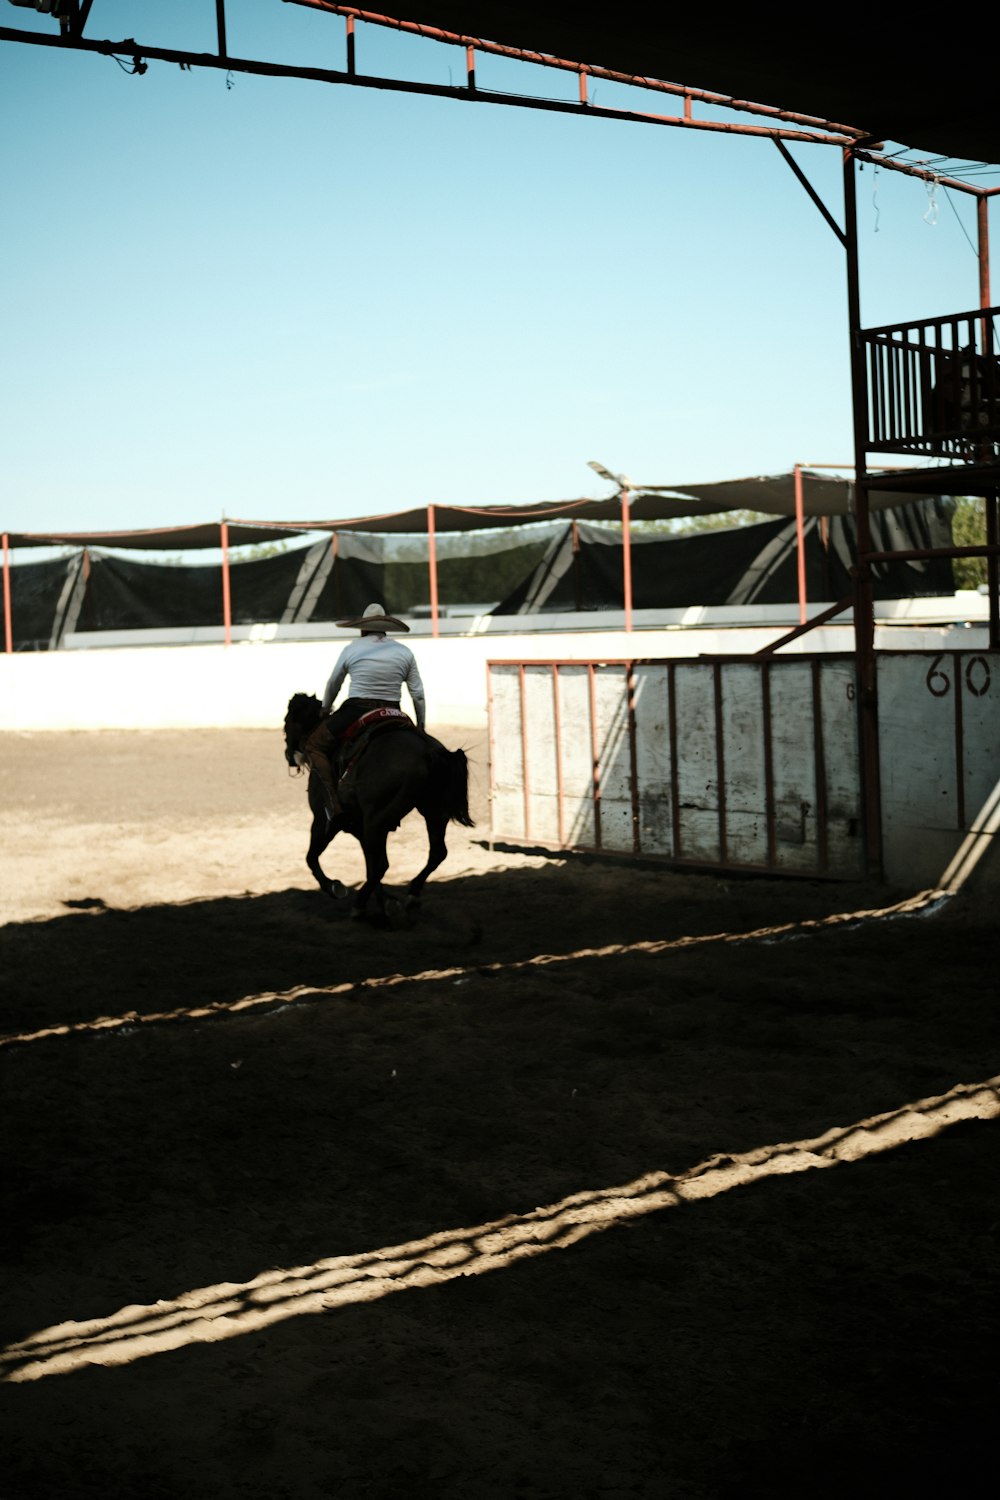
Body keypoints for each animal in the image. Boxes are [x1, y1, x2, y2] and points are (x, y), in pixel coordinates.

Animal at [280, 693, 470, 918]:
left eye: (287, 721)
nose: (289, 755)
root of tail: (428, 751)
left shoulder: (324, 820)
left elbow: (311, 857)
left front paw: (334, 887)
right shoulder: (358, 827)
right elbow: (368, 864)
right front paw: (385, 900)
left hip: (376, 821)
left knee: (382, 864)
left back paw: (359, 903)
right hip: (432, 813)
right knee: (436, 853)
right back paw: (411, 895)